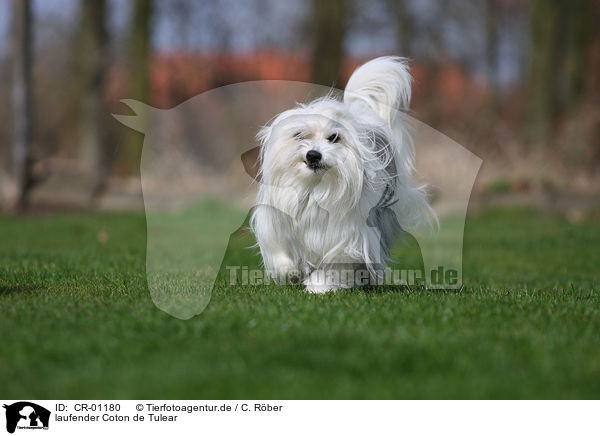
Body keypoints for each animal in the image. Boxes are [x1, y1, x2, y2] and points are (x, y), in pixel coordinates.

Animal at [250, 55, 436, 292]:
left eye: (334, 138)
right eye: (300, 135)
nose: (313, 155)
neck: (314, 187)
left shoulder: (350, 238)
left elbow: (334, 265)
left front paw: (319, 286)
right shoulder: (275, 223)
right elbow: (281, 253)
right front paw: (288, 271)